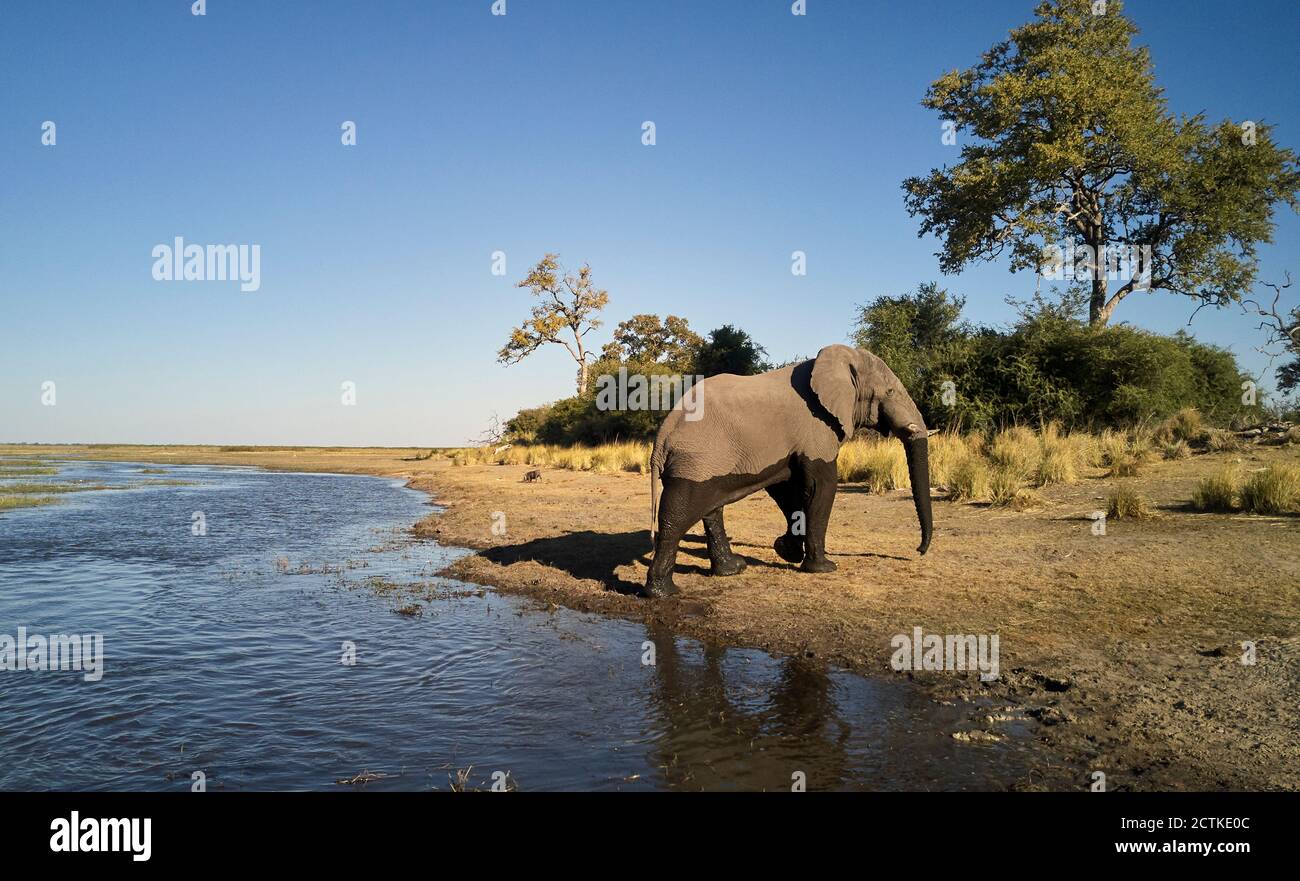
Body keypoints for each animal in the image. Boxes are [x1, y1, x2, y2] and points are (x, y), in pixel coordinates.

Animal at [642, 345, 930, 600]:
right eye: (890, 391)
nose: (919, 550)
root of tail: (663, 436)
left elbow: (787, 490)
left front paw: (786, 552)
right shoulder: (816, 428)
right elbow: (821, 486)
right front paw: (823, 568)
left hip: (706, 461)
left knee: (710, 508)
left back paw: (732, 569)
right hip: (696, 458)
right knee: (677, 514)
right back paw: (663, 593)